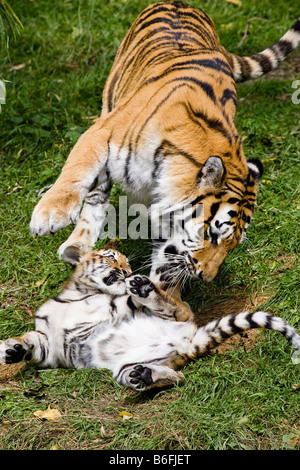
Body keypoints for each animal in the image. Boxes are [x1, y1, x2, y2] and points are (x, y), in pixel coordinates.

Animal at [29, 1, 298, 292]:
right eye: (212, 233)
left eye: (233, 243)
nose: (206, 276)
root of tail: (180, 3)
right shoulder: (101, 133)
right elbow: (76, 171)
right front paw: (48, 216)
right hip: (109, 104)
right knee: (95, 193)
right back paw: (75, 245)